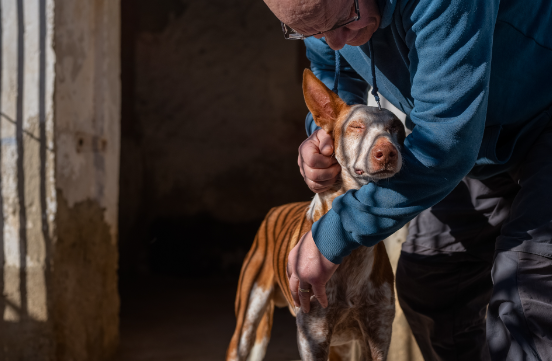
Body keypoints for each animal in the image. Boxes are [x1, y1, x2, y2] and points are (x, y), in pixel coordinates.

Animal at [225, 69, 406, 360]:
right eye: (356, 127)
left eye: (396, 129)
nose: (387, 153)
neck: (350, 252)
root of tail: (276, 209)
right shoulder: (314, 337)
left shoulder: (377, 333)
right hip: (247, 328)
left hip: (341, 347)